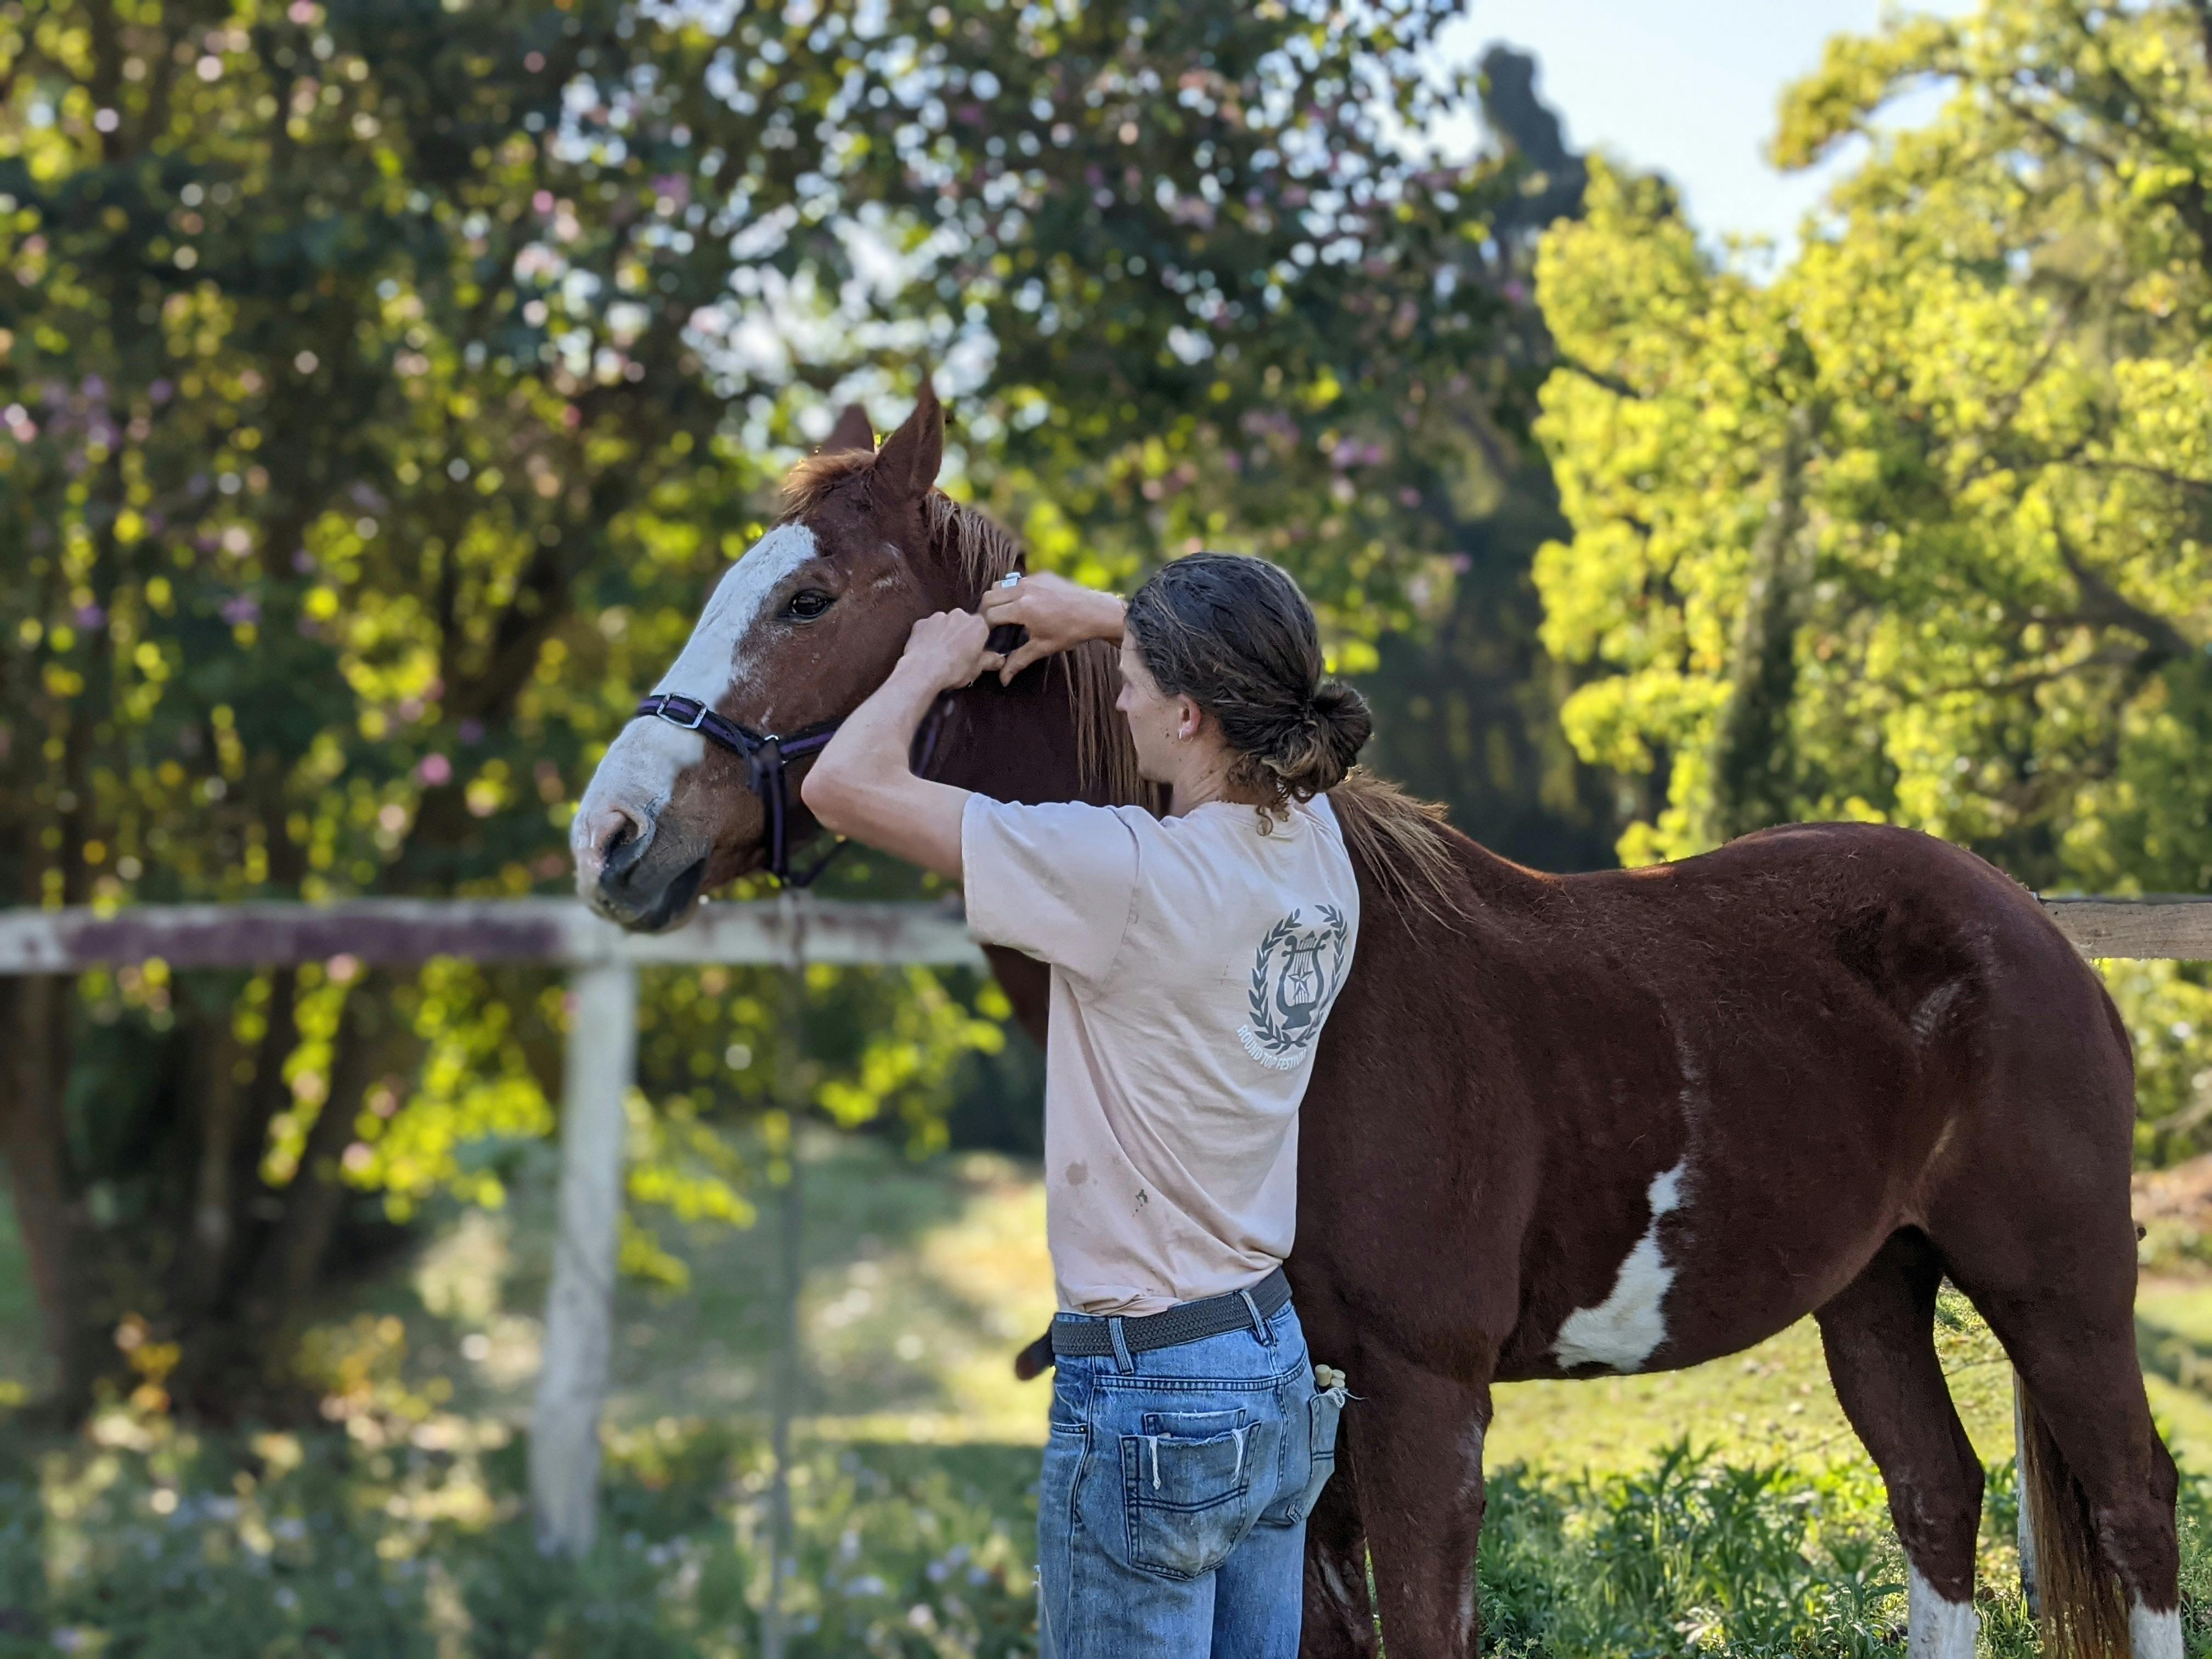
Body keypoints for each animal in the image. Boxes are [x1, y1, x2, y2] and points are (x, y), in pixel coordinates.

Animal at [570, 387, 2178, 1659]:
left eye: (812, 600)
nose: (613, 835)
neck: (1344, 1025)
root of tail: (2029, 928)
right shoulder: (1323, 1433)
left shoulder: (1426, 1401)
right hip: (1876, 1287)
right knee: (1937, 1497)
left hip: (2062, 1292)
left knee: (2136, 1507)